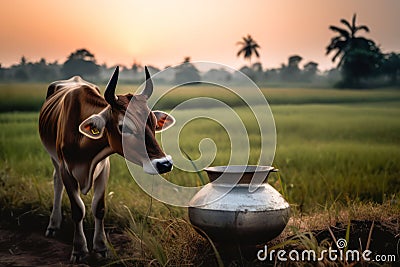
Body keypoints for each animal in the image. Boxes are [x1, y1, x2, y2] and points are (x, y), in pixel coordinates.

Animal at [38, 66, 174, 262]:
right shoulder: (66, 170)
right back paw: (53, 225)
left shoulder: (104, 168)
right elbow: (77, 209)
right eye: (124, 127)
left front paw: (101, 247)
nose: (164, 164)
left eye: (154, 123)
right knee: (57, 183)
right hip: (54, 159)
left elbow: (99, 207)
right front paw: (79, 250)